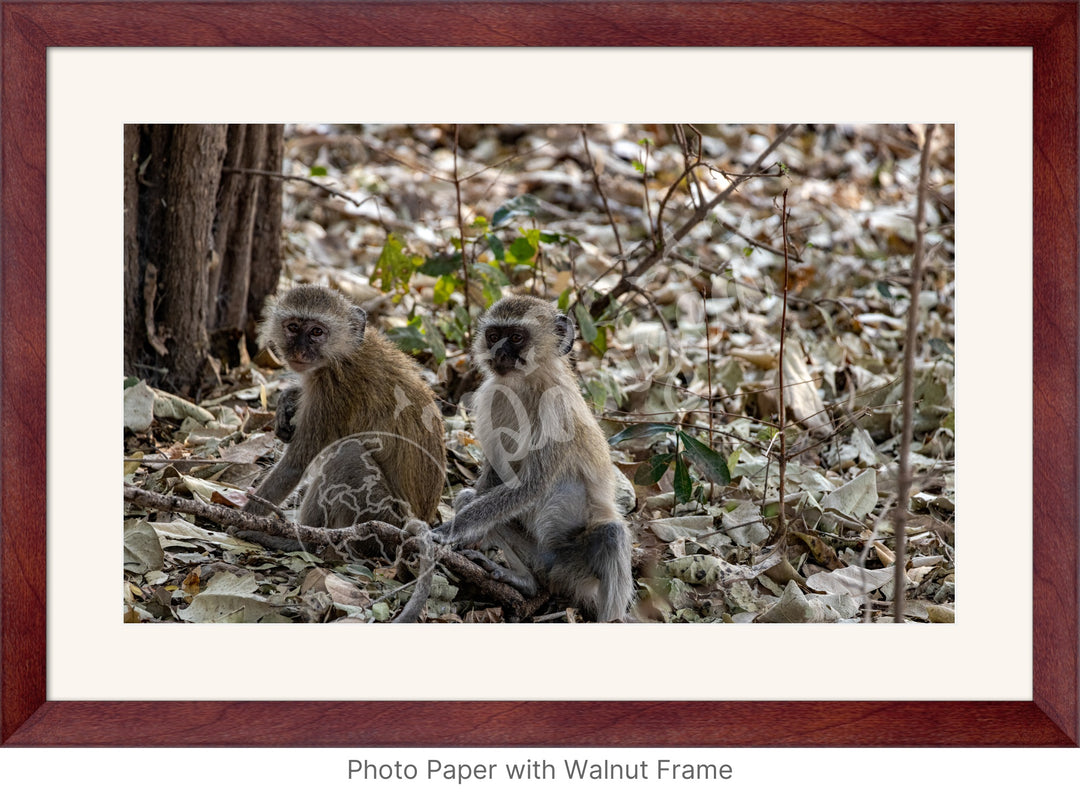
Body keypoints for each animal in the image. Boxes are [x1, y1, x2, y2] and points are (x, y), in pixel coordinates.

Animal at [246, 284, 447, 531]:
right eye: (293, 327)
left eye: (316, 332)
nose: (299, 352)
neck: (343, 353)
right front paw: (288, 400)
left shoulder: (332, 392)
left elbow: (294, 466)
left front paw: (243, 516)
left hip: (378, 513)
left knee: (346, 453)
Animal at [429, 295, 630, 621]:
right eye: (493, 336)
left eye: (516, 337)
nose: (498, 352)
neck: (526, 385)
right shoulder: (493, 396)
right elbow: (495, 479)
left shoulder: (557, 411)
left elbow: (531, 486)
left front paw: (446, 532)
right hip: (538, 556)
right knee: (471, 498)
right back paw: (523, 580)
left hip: (578, 568)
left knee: (611, 535)